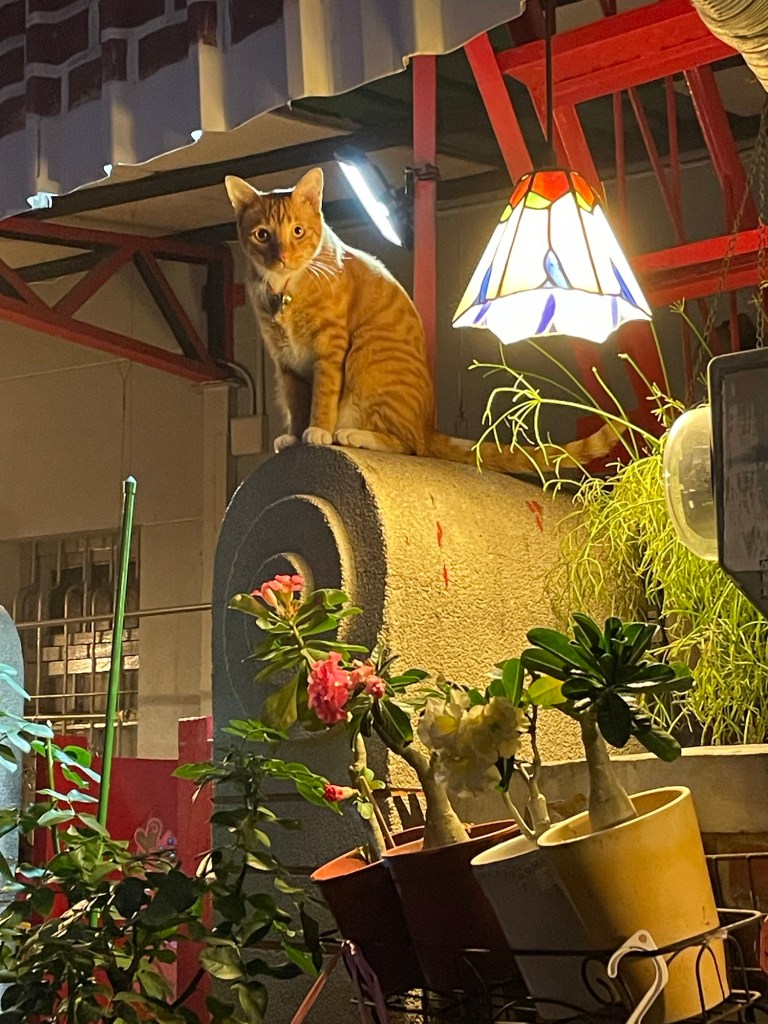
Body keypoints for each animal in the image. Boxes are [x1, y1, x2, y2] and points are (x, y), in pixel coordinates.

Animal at [225, 167, 619, 473]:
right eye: (263, 235)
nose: (282, 257)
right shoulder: (286, 363)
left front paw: (317, 429)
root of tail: (429, 425)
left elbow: (322, 395)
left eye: (298, 231)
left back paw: (354, 434)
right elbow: (295, 403)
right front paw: (294, 435)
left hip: (365, 358)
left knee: (409, 443)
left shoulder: (330, 348)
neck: (284, 291)